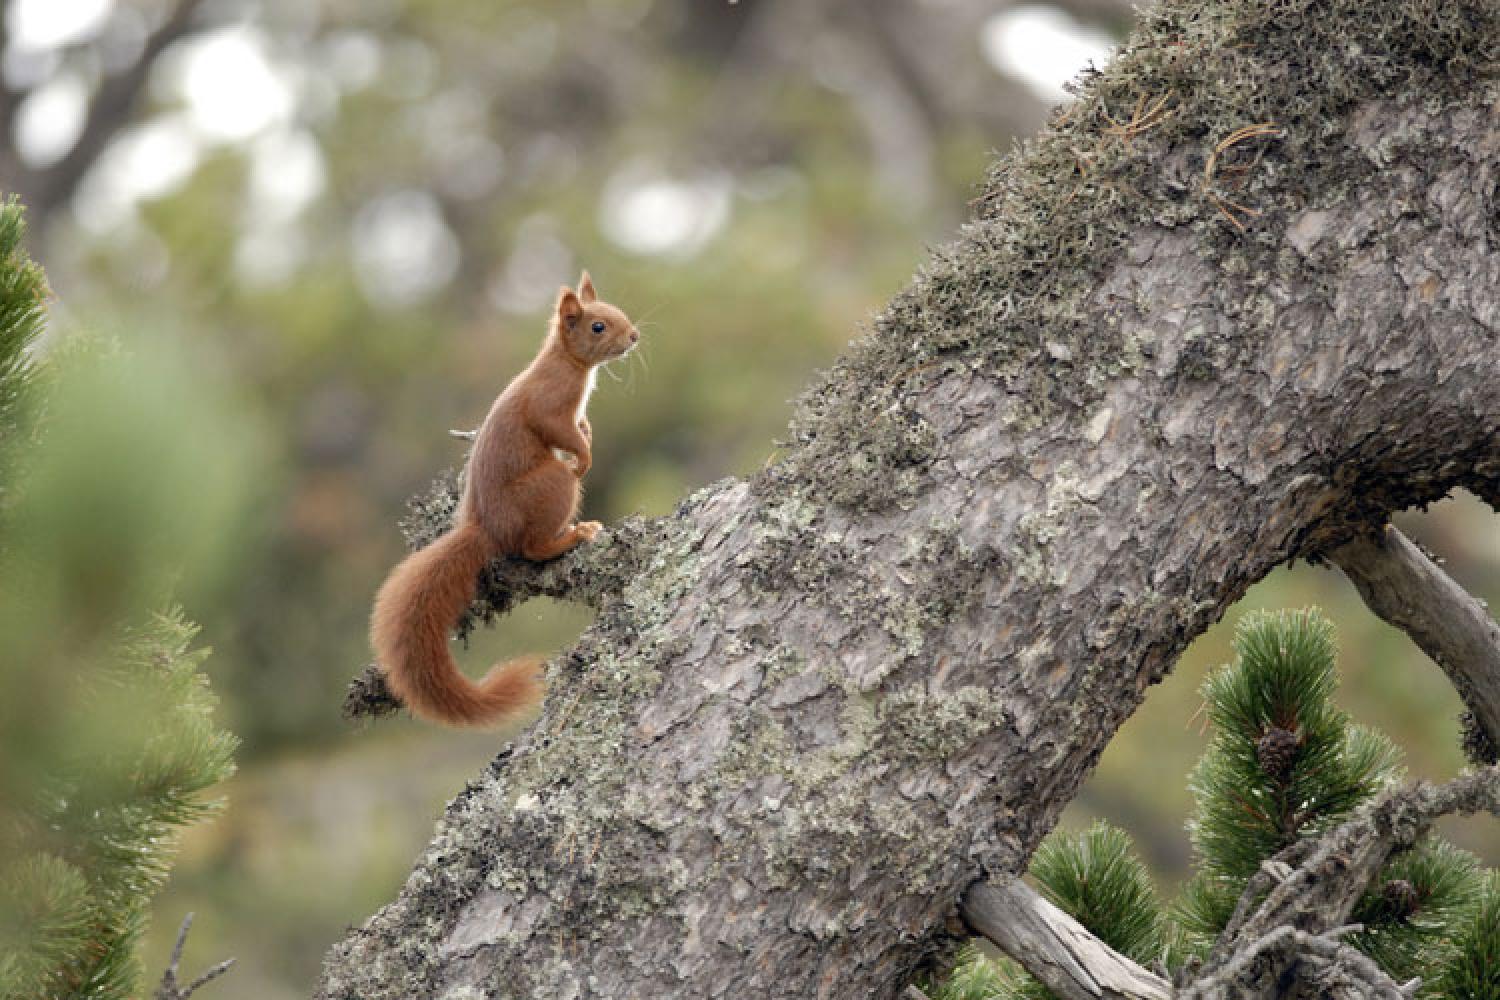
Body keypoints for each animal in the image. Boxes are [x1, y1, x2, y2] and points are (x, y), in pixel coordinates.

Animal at [373, 274, 639, 728]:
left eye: (618, 311)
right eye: (598, 326)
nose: (635, 336)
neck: (568, 363)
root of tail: (486, 530)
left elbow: (582, 426)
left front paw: (589, 435)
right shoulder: (551, 405)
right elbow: (561, 432)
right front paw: (584, 457)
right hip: (552, 486)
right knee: (533, 547)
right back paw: (574, 534)